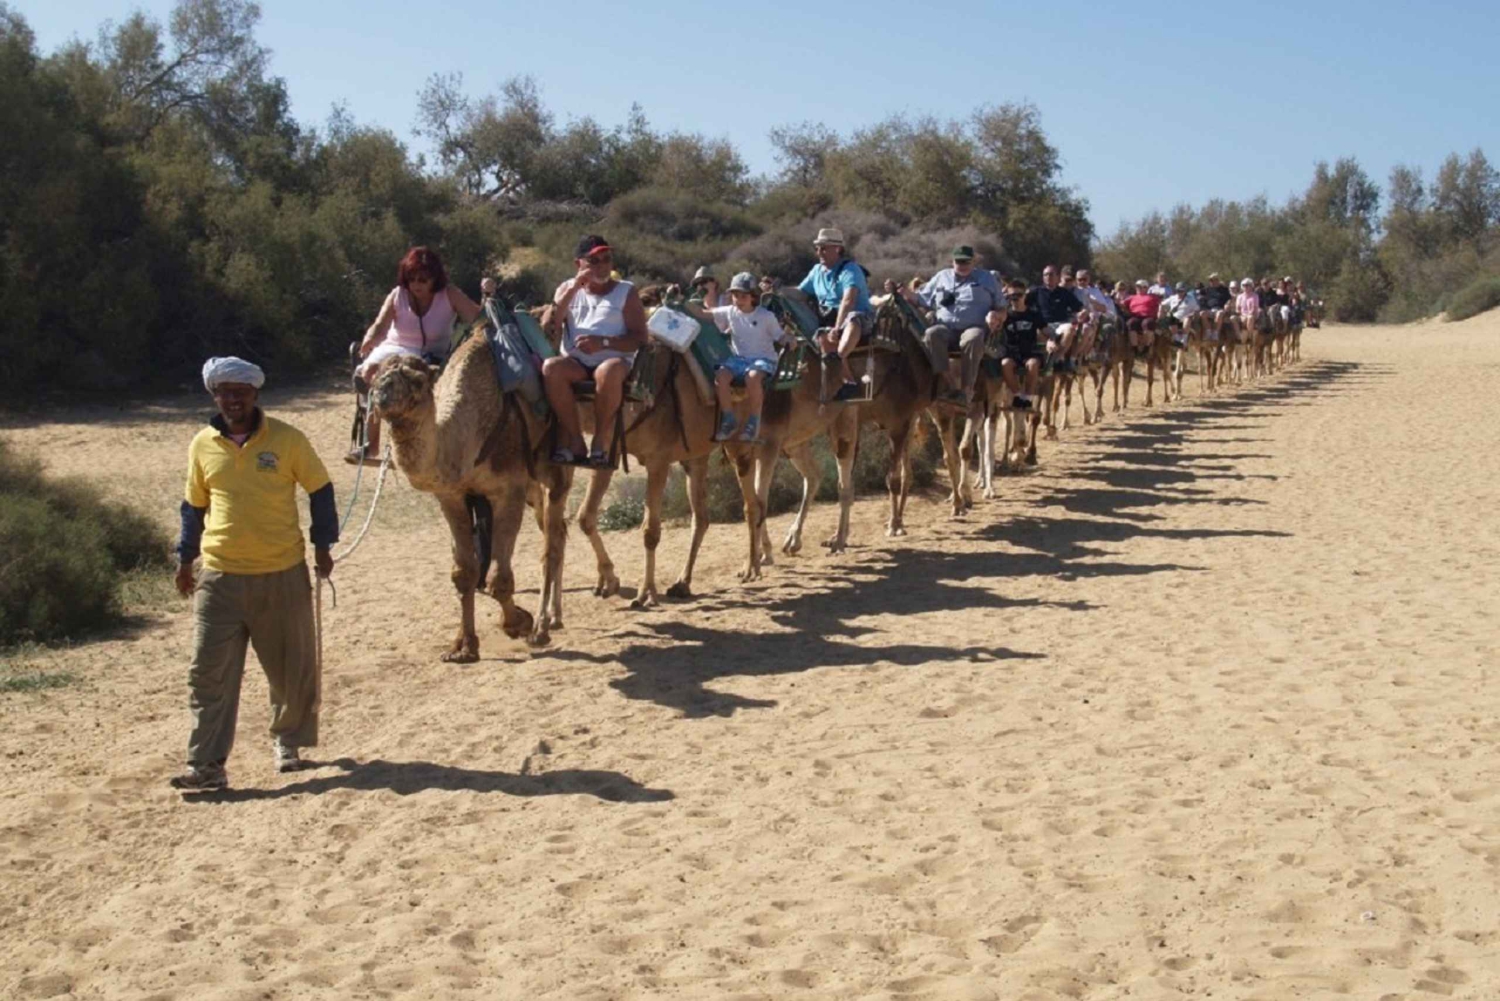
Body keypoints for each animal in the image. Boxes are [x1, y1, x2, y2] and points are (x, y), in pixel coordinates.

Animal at [369, 332, 570, 659]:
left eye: (418, 381)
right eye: (375, 378)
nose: (382, 396)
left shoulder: (508, 490)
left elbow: (498, 579)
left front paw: (518, 622)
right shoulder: (451, 495)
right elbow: (464, 572)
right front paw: (463, 646)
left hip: (556, 465)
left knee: (551, 542)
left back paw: (542, 627)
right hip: (533, 489)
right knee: (558, 533)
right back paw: (554, 616)